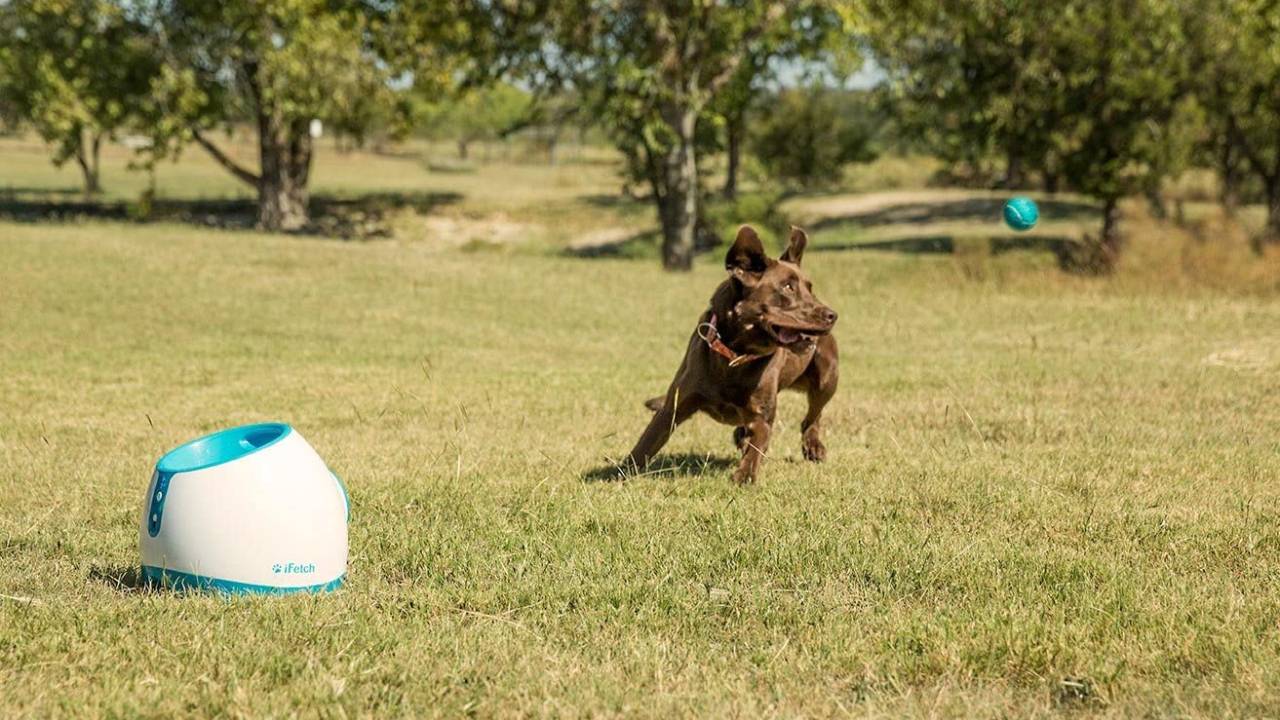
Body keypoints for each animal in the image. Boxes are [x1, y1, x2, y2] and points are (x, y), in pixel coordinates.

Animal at [622, 224, 839, 481]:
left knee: (812, 417)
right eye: (788, 287)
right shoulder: (675, 404)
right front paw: (619, 472)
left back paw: (813, 446)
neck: (735, 357)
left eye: (810, 289)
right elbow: (647, 442)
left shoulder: (762, 416)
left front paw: (744, 476)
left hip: (827, 377)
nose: (832, 315)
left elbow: (757, 446)